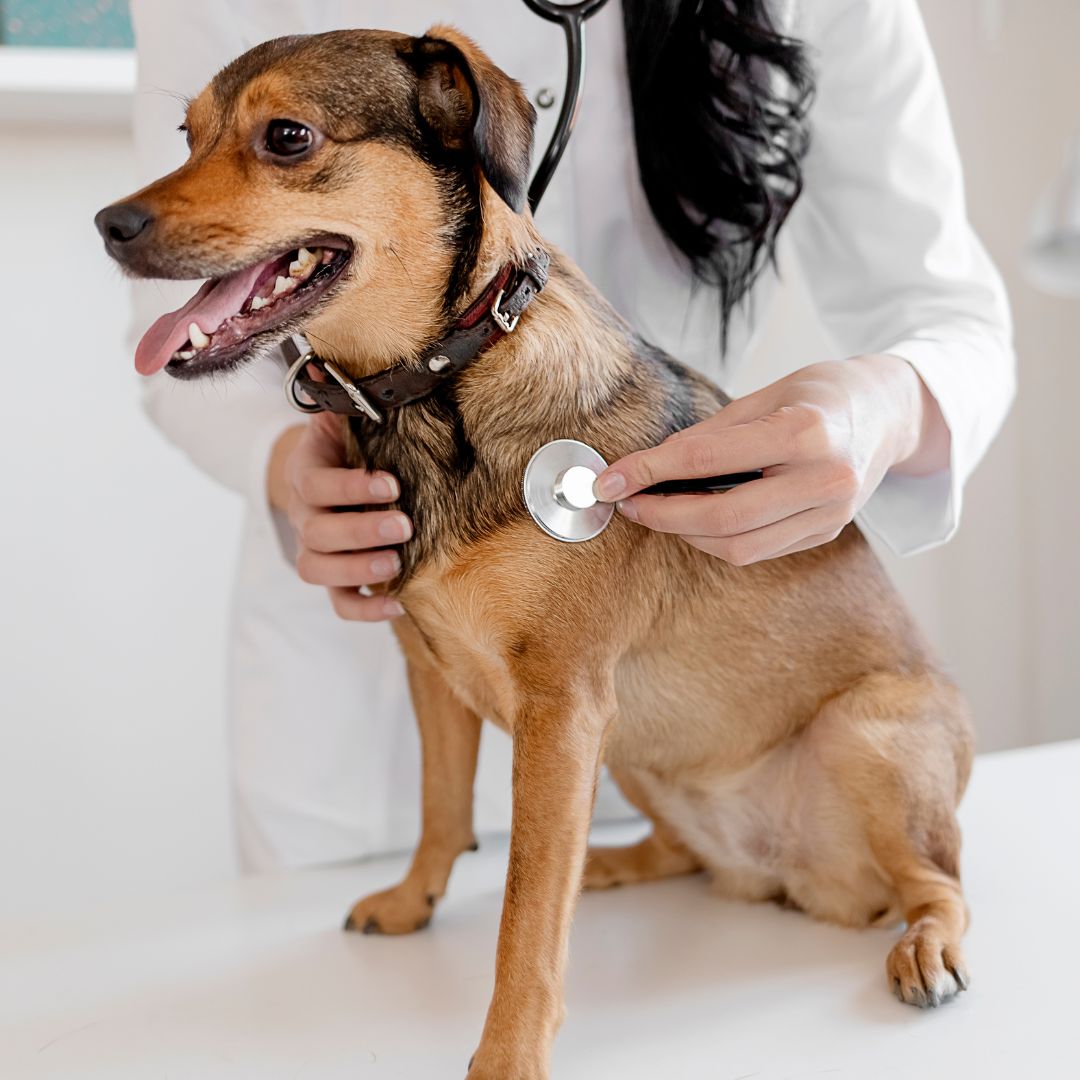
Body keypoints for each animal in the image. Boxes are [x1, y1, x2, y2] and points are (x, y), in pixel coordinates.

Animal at [97, 27, 976, 1080]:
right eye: (185, 135)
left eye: (287, 137)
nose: (107, 224)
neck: (439, 386)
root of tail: (792, 880)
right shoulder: (432, 669)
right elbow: (442, 810)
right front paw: (414, 898)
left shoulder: (561, 706)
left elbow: (526, 912)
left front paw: (508, 1052)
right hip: (637, 748)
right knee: (682, 854)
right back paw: (611, 863)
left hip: (861, 732)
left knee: (942, 884)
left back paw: (924, 947)